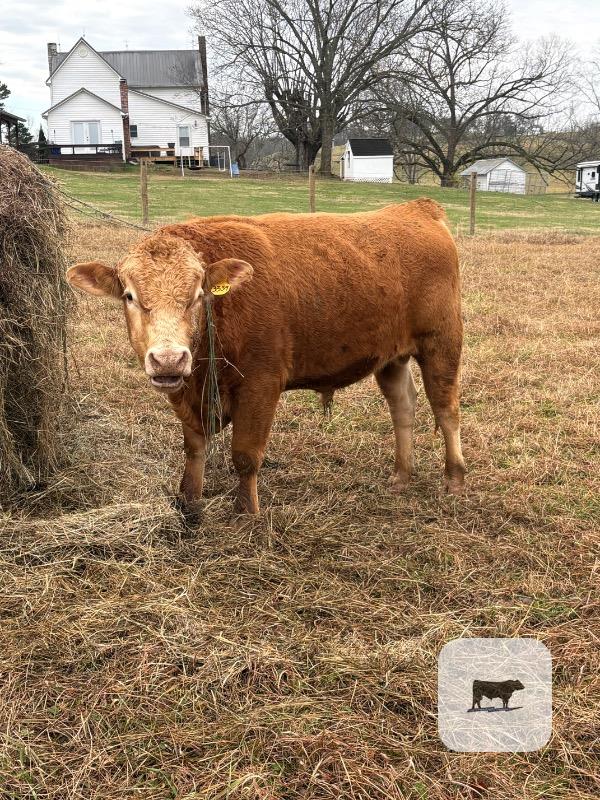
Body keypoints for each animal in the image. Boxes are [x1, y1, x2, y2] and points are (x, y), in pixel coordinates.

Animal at [67, 199, 466, 516]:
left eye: (197, 295)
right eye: (129, 296)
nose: (168, 359)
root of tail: (416, 209)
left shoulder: (261, 385)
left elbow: (245, 456)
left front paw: (247, 514)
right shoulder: (188, 395)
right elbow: (194, 448)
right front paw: (190, 502)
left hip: (442, 344)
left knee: (446, 409)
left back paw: (454, 478)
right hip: (392, 358)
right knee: (403, 407)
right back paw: (401, 475)